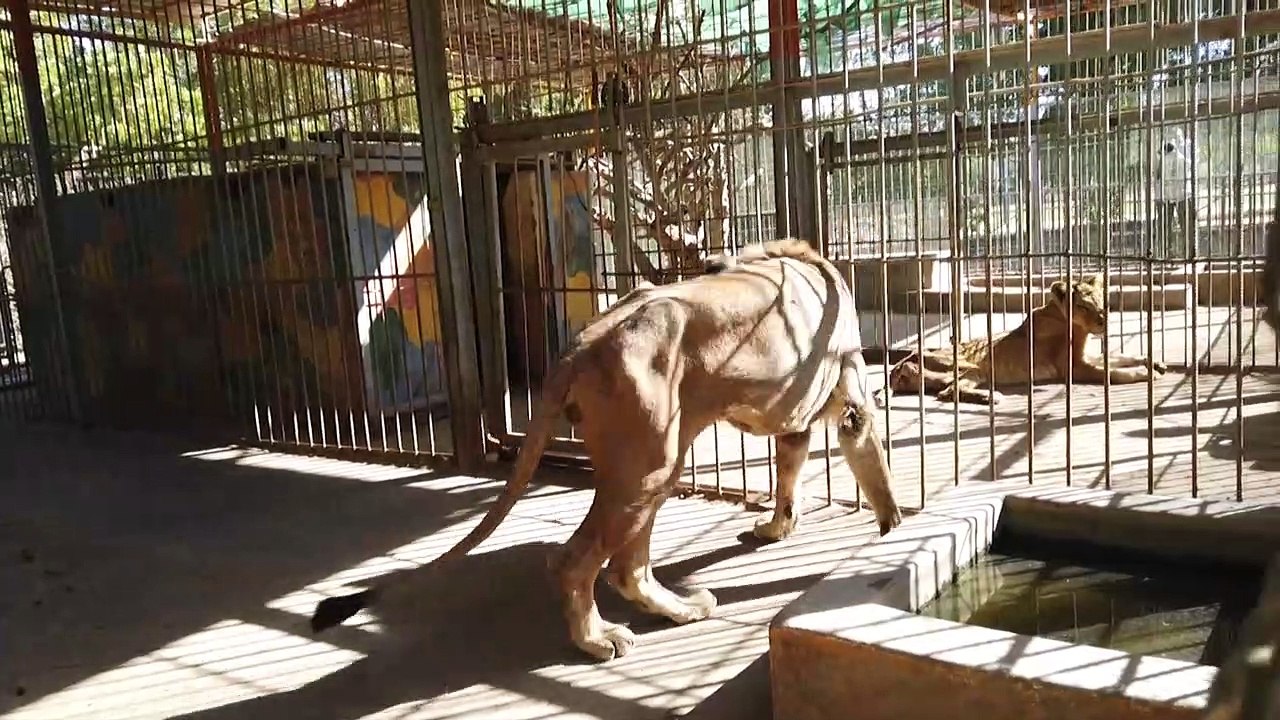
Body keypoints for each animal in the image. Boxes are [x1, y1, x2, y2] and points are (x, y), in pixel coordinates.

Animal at [310, 239, 903, 661]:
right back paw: (598, 639)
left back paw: (681, 611)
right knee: (578, 562)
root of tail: (582, 344)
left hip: (651, 467)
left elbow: (788, 473)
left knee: (627, 568)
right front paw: (893, 532)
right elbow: (877, 477)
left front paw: (777, 527)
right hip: (651, 466)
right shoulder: (853, 408)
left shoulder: (797, 422)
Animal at [873, 273, 1167, 406]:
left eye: (1100, 301)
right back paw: (992, 397)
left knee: (948, 392)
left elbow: (1120, 357)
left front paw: (1155, 362)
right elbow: (1115, 373)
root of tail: (898, 364)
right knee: (949, 392)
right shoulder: (1073, 367)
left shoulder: (1086, 356)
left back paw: (988, 396)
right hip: (969, 365)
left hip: (973, 372)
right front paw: (1147, 373)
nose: (1103, 320)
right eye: (1083, 306)